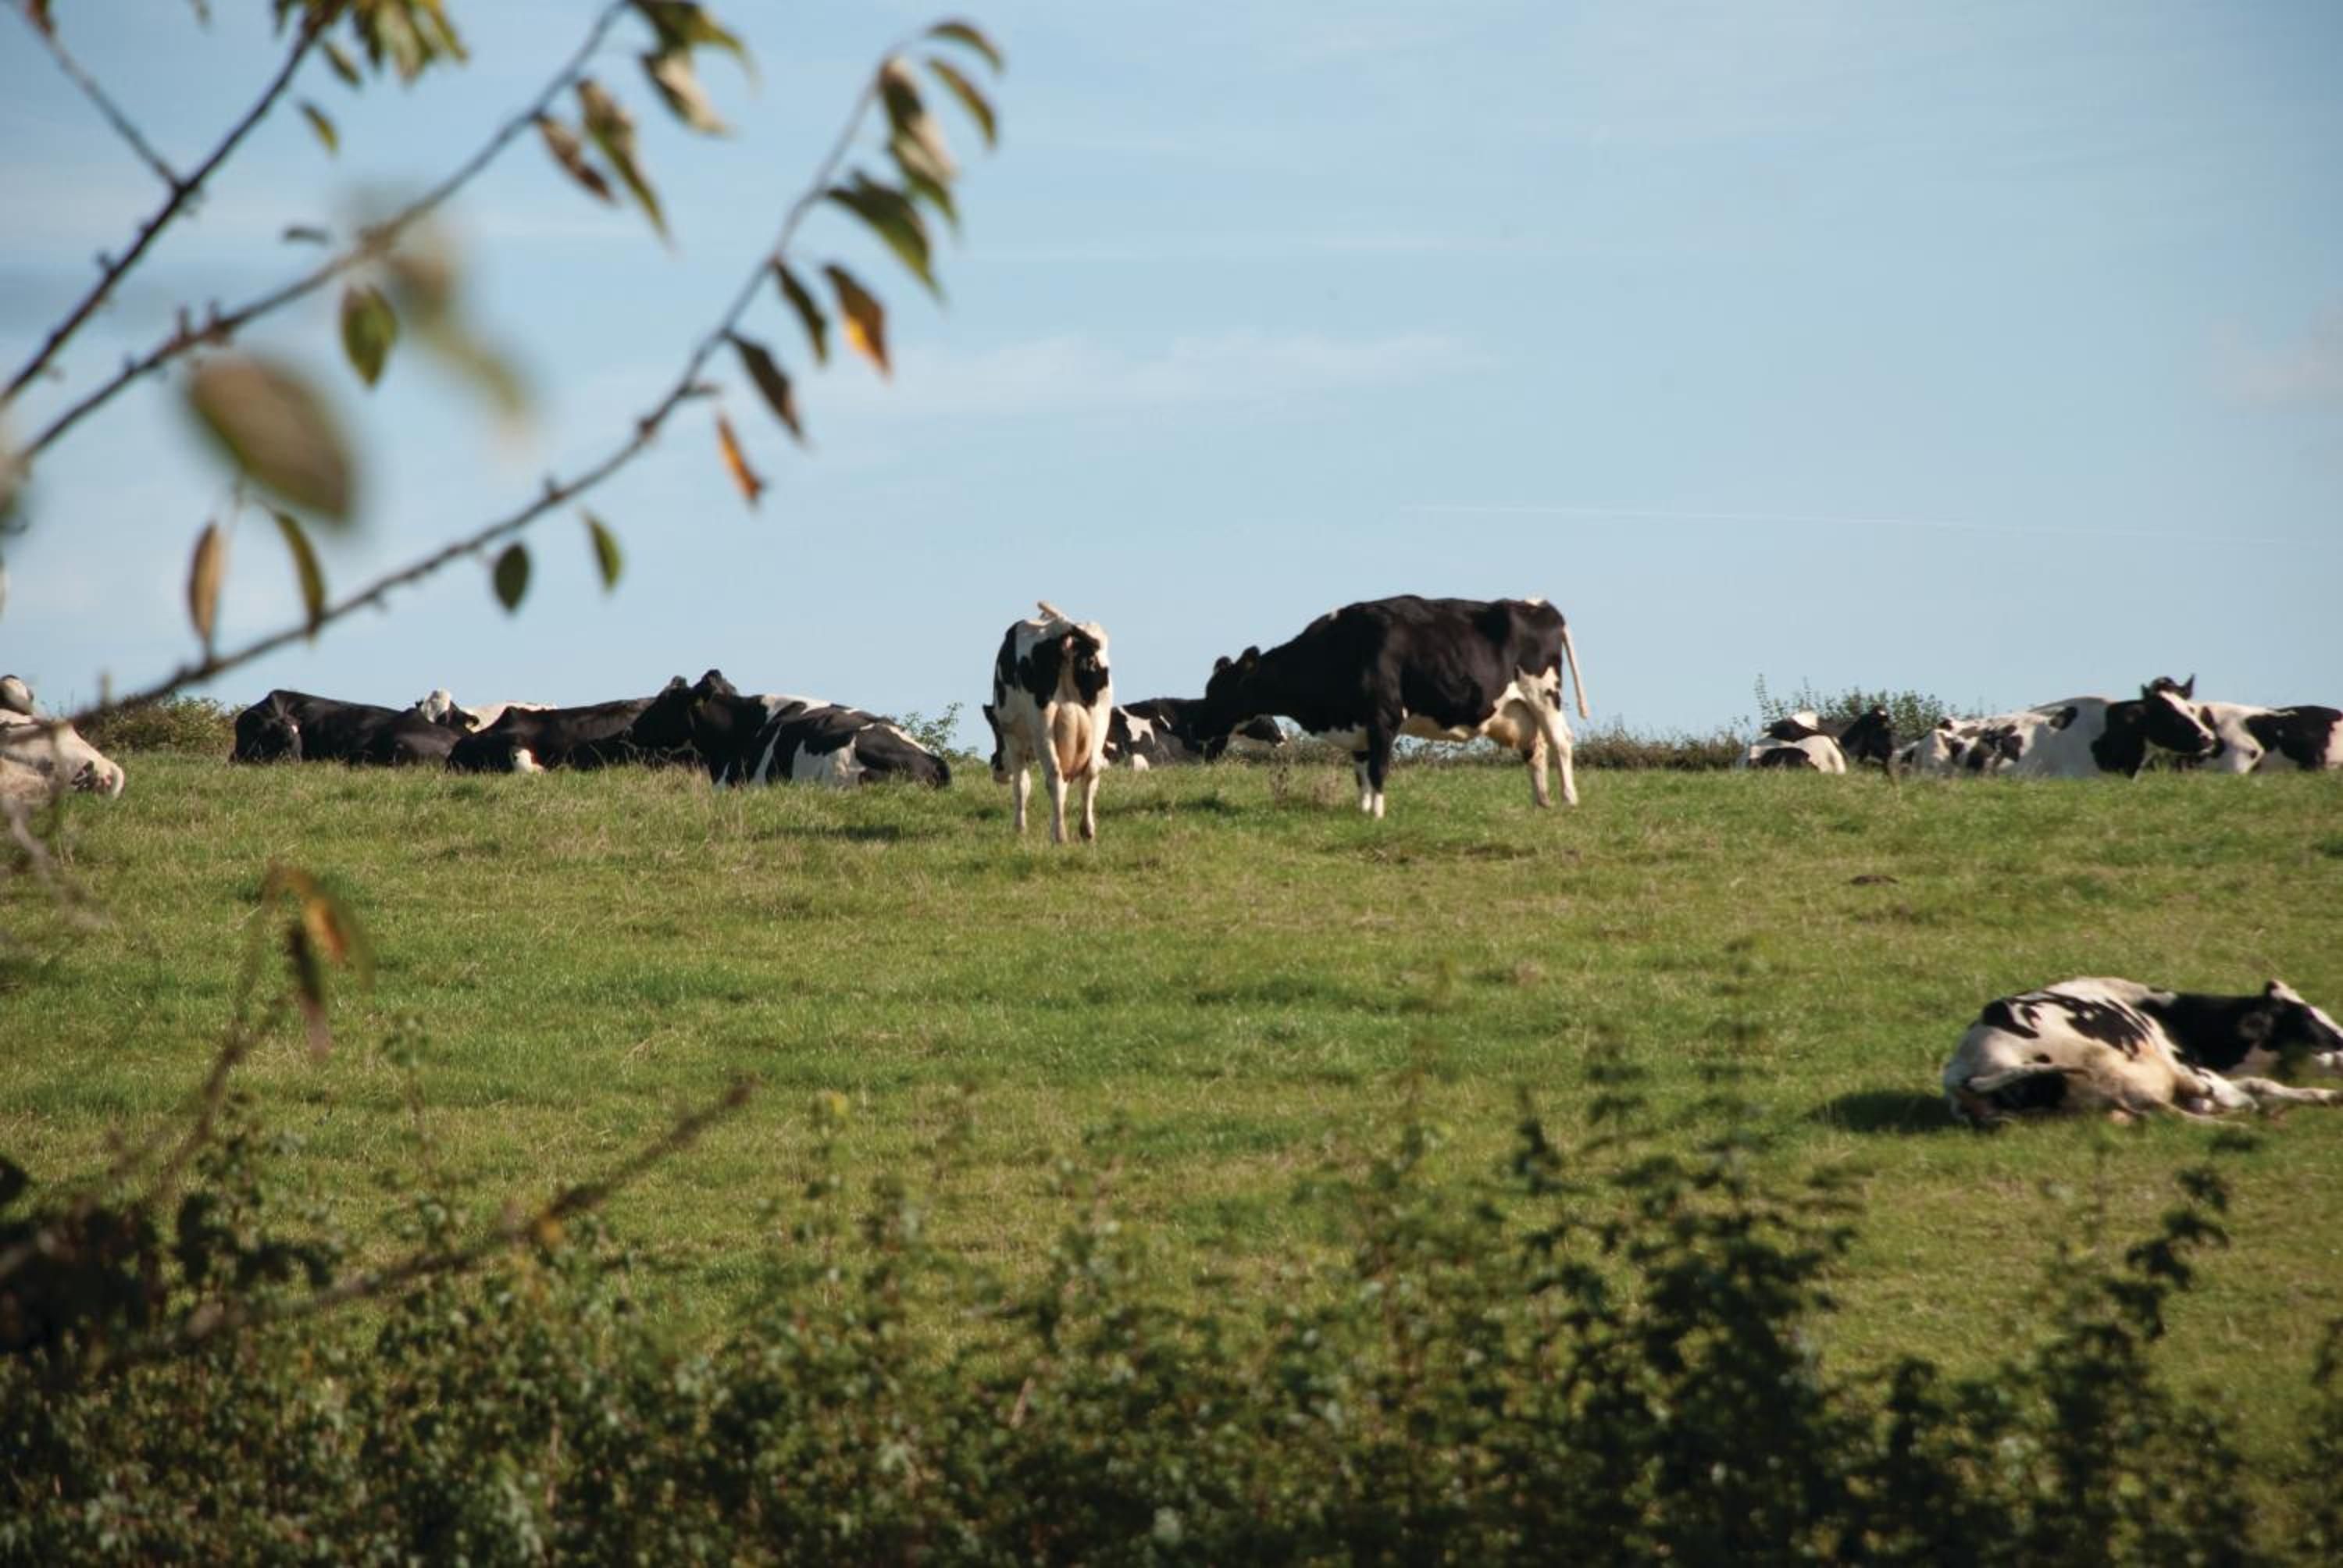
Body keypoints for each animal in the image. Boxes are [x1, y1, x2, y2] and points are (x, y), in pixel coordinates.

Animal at [987, 601, 1114, 842]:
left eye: (996, 734)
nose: (997, 771)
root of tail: (1062, 627)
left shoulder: (1013, 738)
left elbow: (1022, 785)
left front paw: (1019, 829)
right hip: (1100, 716)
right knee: (1091, 771)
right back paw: (1087, 830)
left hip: (1042, 725)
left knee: (1054, 775)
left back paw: (1059, 834)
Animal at [1186, 594, 1589, 818]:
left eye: (1220, 691)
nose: (1195, 727)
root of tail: (1539, 606)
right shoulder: (1358, 726)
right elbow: (1361, 773)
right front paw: (1363, 810)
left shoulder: (1384, 716)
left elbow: (1378, 769)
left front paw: (1377, 814)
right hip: (1517, 711)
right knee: (1535, 749)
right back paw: (1541, 801)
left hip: (1544, 695)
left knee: (1561, 742)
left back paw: (1569, 799)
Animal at [1943, 977, 2343, 1126]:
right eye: (2312, 1026)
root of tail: (1963, 1069)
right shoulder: (2191, 1068)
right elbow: (2252, 1089)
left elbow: (2263, 1085)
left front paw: (2324, 1097)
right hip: (2104, 1066)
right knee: (2172, 1109)